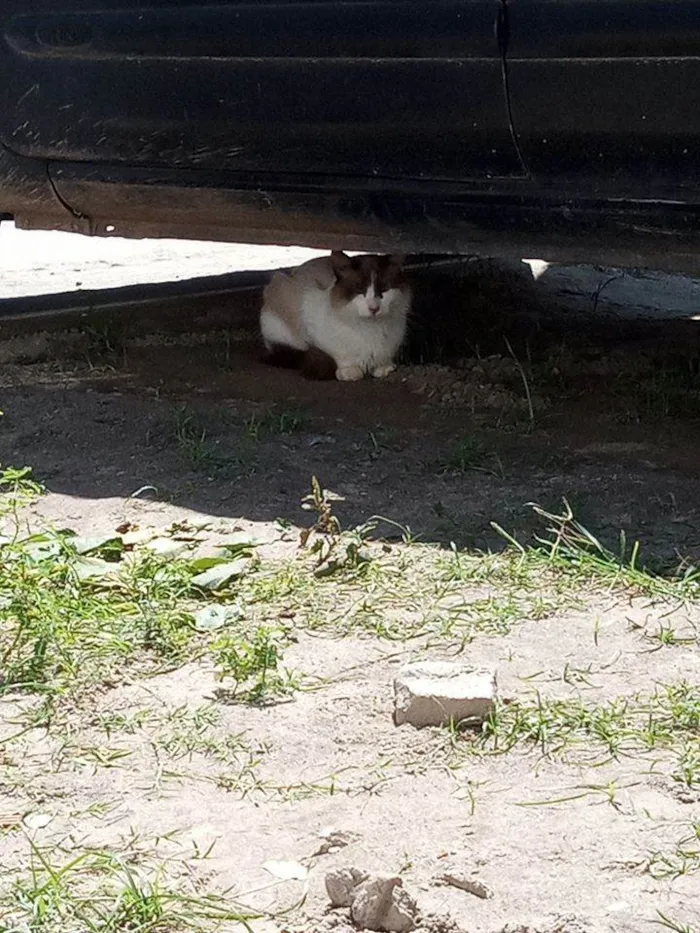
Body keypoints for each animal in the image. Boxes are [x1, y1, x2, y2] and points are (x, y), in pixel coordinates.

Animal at [260, 249, 408, 380]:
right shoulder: (309, 314)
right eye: (359, 289)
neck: (371, 328)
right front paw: (349, 372)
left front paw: (383, 368)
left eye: (384, 289)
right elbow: (341, 357)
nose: (374, 308)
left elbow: (383, 360)